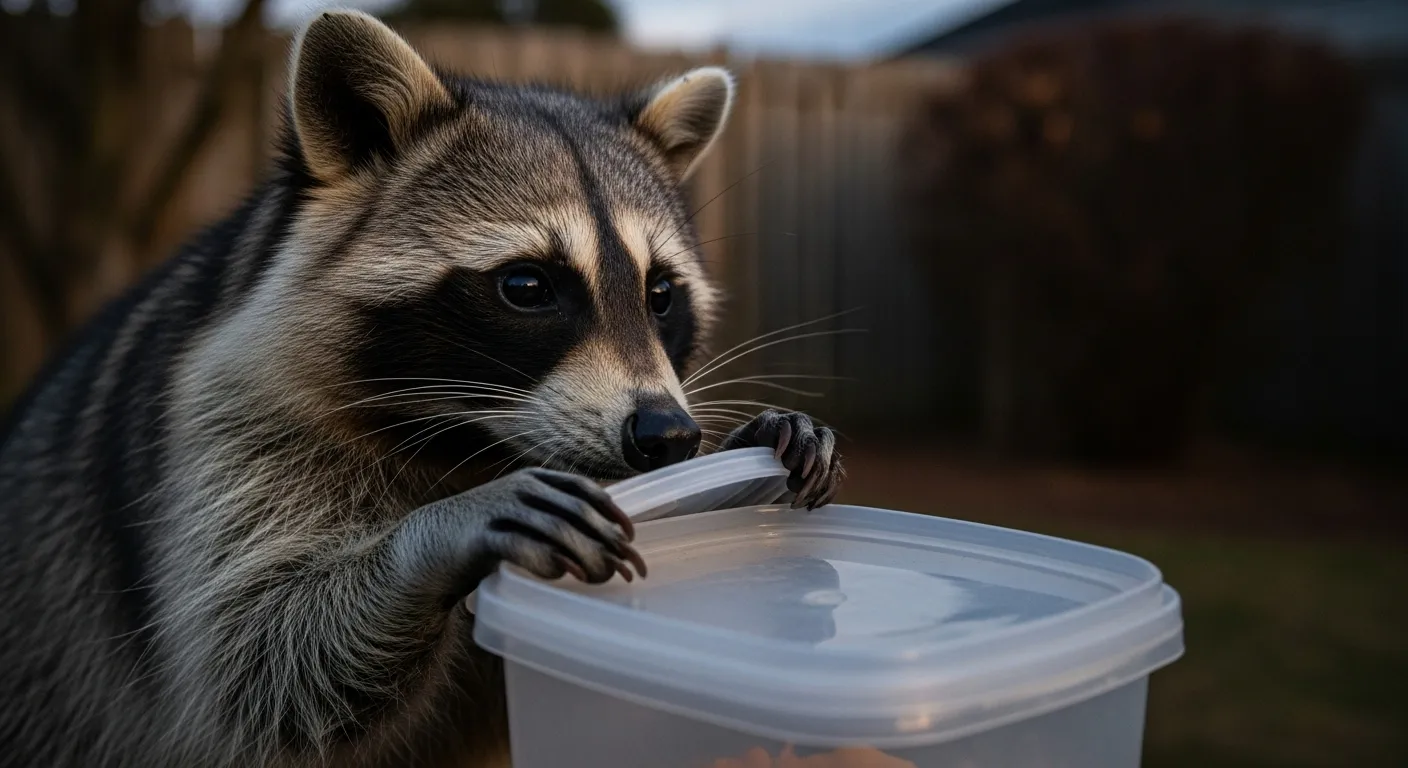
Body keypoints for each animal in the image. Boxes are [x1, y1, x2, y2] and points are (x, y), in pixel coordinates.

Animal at [0, 9, 844, 768]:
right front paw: (435, 536)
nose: (668, 435)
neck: (474, 442)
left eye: (661, 293)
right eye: (527, 287)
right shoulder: (226, 425)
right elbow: (260, 660)